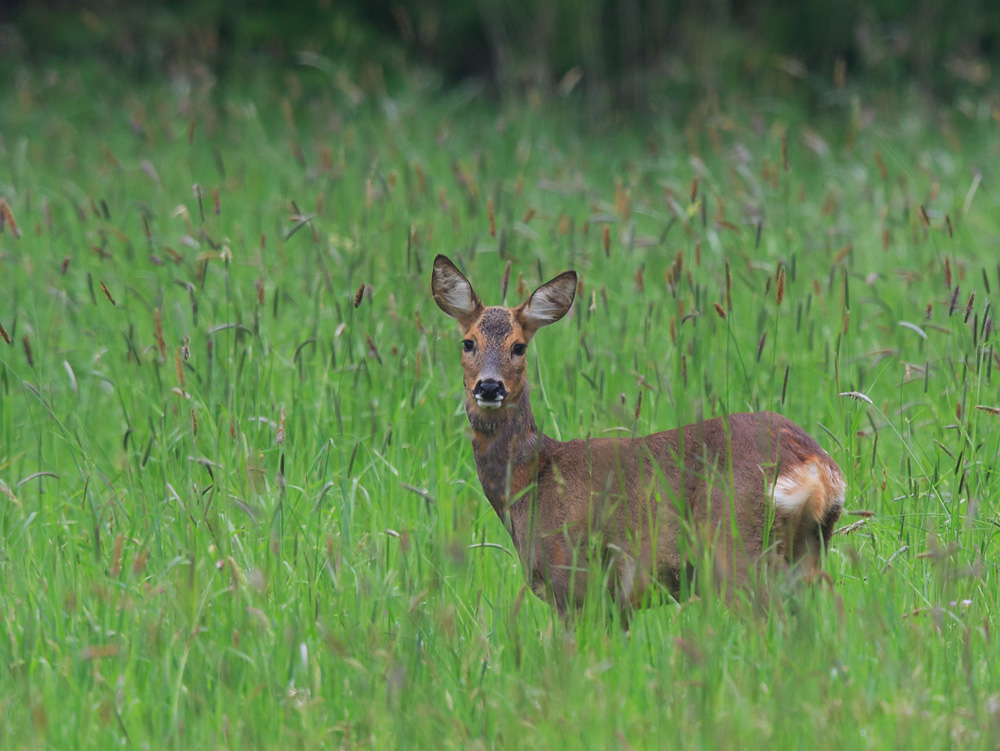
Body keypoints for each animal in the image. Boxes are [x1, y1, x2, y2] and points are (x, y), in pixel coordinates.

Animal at [430, 256, 844, 612]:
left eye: (518, 346)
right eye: (468, 342)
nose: (489, 387)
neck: (531, 479)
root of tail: (817, 464)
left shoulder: (574, 582)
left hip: (737, 546)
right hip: (809, 551)